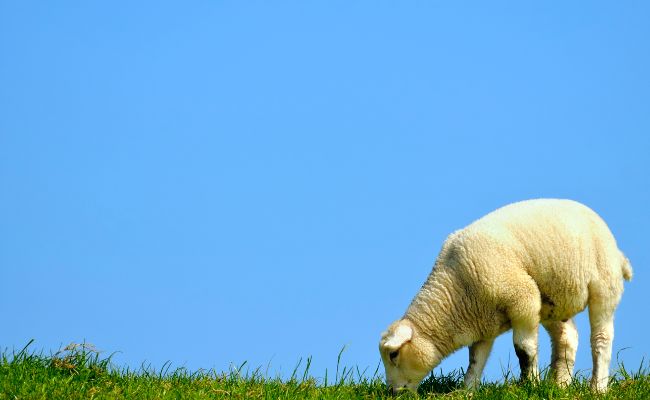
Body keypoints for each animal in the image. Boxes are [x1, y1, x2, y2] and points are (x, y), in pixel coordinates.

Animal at [378, 198, 632, 392]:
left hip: (604, 285)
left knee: (601, 338)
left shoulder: (523, 300)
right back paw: (559, 385)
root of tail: (618, 253)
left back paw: (597, 387)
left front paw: (530, 385)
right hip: (552, 300)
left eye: (393, 354)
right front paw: (467, 390)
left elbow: (524, 349)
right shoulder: (482, 321)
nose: (392, 393)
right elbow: (475, 359)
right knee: (567, 338)